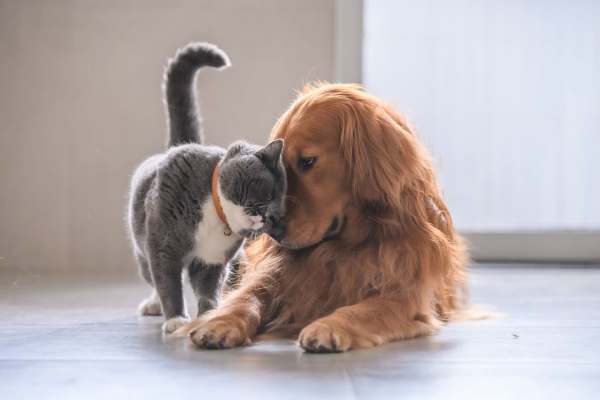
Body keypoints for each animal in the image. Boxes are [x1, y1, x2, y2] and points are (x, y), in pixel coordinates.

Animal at [126, 42, 286, 332]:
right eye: (268, 193)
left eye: (279, 212)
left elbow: (207, 289)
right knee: (152, 277)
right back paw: (154, 305)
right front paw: (176, 319)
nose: (267, 217)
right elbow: (168, 283)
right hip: (142, 247)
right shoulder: (163, 245)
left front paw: (210, 314)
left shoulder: (212, 260)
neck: (216, 215)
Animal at [178, 83, 468, 352]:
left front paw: (329, 327)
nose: (272, 231)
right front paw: (219, 322)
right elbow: (247, 296)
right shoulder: (275, 274)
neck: (345, 246)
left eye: (308, 161)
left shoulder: (405, 295)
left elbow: (364, 309)